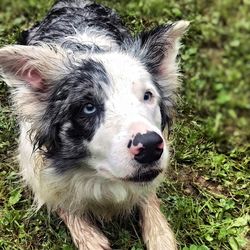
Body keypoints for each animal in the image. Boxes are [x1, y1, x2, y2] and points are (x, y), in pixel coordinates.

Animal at [0, 0, 188, 249]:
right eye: (88, 107)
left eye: (147, 96)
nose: (149, 146)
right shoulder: (35, 167)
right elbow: (62, 201)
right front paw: (90, 237)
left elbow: (149, 197)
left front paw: (161, 236)